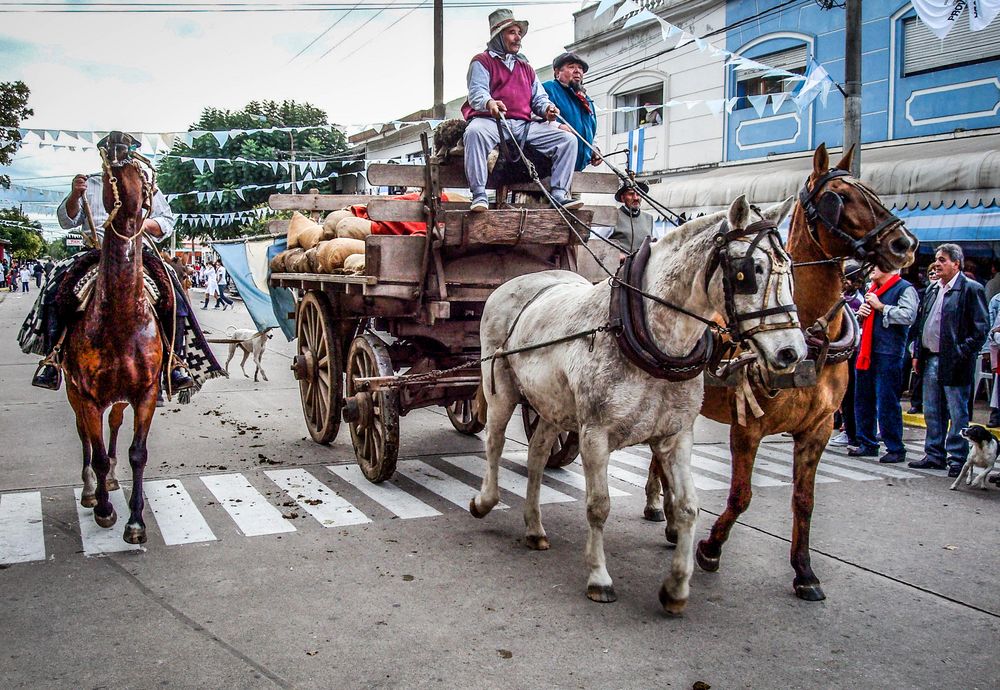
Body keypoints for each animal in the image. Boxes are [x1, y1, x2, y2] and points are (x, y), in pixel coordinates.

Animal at [61, 144, 164, 544]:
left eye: (145, 177)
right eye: (108, 176)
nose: (134, 211)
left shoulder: (147, 391)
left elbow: (138, 453)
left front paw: (135, 521)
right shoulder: (86, 393)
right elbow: (98, 452)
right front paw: (105, 510)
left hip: (120, 397)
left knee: (115, 423)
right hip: (74, 392)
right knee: (85, 437)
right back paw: (92, 490)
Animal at [466, 194, 804, 612]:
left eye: (790, 269)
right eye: (749, 272)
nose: (792, 352)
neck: (646, 336)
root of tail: (514, 283)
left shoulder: (675, 436)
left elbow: (688, 506)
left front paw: (676, 586)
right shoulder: (595, 435)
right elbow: (599, 505)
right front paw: (599, 576)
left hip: (553, 406)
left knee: (538, 455)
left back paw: (534, 525)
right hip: (501, 389)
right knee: (495, 444)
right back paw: (485, 500)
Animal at [644, 144, 916, 596]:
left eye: (872, 190)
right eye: (840, 197)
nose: (904, 243)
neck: (813, 338)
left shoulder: (819, 427)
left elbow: (804, 500)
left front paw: (804, 570)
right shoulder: (747, 426)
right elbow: (741, 496)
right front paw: (710, 548)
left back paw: (660, 511)